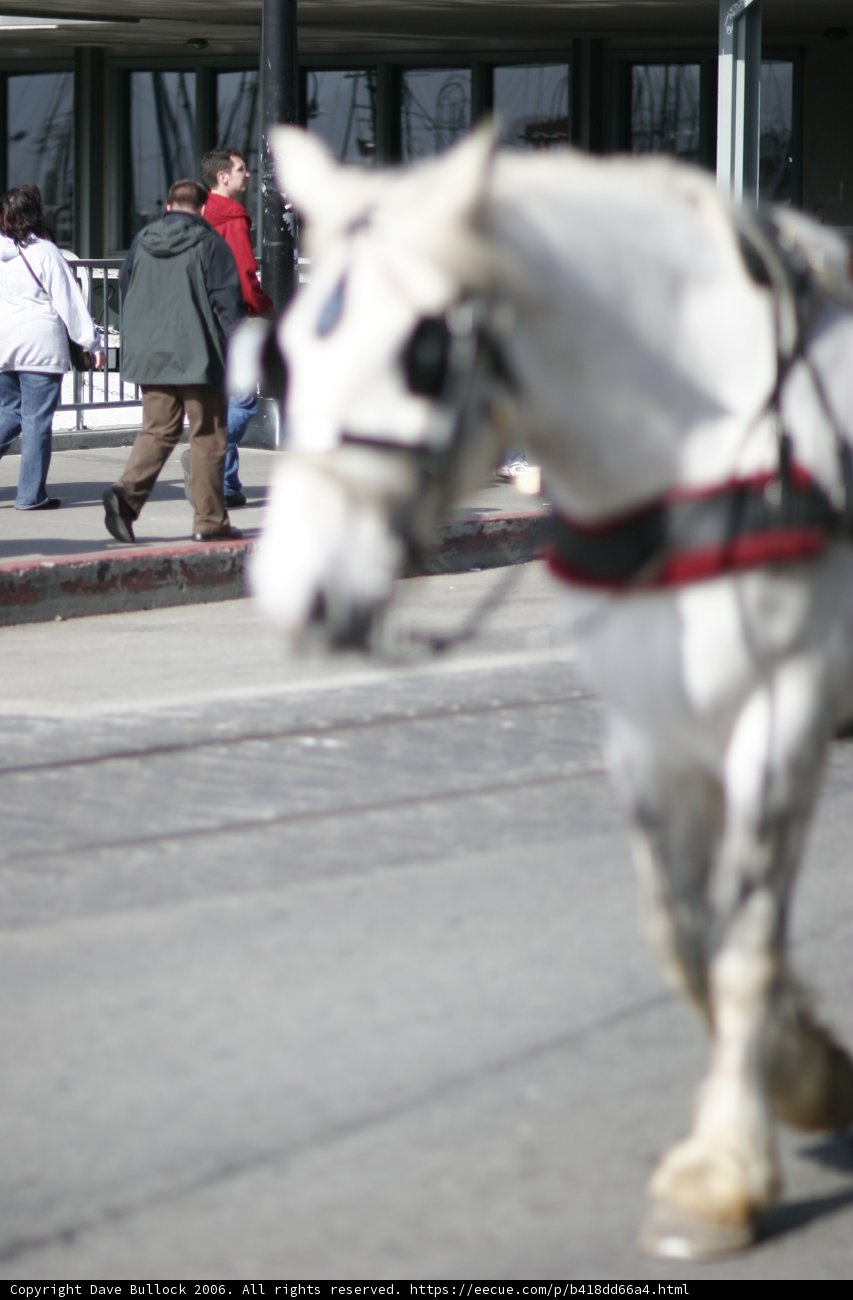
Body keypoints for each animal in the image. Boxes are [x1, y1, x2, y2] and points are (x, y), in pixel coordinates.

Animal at [246, 124, 853, 1260]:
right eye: (285, 354)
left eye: (421, 357)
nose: (294, 590)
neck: (699, 456)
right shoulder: (648, 732)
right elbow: (682, 934)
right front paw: (806, 1070)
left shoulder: (783, 711)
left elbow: (743, 943)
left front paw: (718, 1175)